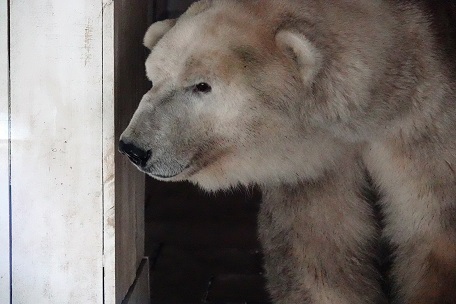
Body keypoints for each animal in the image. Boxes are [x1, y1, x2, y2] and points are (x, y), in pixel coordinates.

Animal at [120, 1, 456, 302]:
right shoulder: (315, 161)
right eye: (154, 77)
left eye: (202, 85)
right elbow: (319, 245)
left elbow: (434, 229)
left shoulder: (418, 121)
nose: (133, 148)